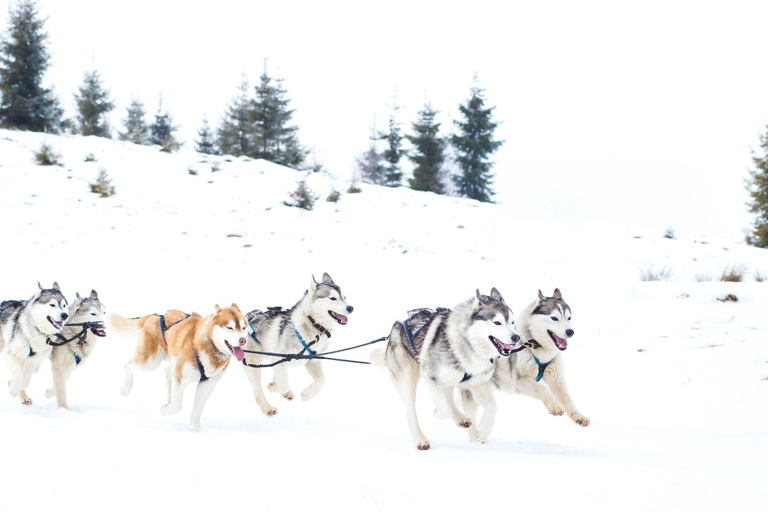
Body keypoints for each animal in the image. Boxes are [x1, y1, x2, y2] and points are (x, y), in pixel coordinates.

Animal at [106, 304, 246, 432]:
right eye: (230, 327)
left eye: (244, 328)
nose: (243, 340)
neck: (209, 345)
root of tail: (156, 316)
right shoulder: (181, 378)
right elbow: (177, 406)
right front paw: (164, 410)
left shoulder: (206, 384)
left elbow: (196, 410)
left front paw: (194, 428)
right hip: (150, 362)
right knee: (129, 365)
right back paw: (125, 389)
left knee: (167, 372)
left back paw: (169, 397)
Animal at [242, 272, 356, 416]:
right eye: (333, 298)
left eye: (345, 297)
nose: (350, 308)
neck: (313, 323)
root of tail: (245, 317)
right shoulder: (280, 360)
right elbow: (283, 384)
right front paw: (275, 387)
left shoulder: (312, 361)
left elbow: (322, 380)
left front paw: (307, 394)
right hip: (253, 364)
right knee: (258, 392)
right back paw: (268, 408)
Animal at [372, 290, 520, 450]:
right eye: (497, 322)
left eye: (512, 322)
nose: (516, 337)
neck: (467, 344)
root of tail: (398, 324)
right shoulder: (431, 378)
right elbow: (444, 408)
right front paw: (440, 413)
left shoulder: (477, 383)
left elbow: (492, 406)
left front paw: (483, 430)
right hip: (408, 379)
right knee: (410, 412)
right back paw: (420, 439)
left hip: (449, 381)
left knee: (448, 398)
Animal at [464, 290, 592, 426]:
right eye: (554, 318)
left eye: (569, 318)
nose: (570, 332)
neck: (538, 346)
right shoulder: (520, 380)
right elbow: (542, 388)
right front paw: (554, 404)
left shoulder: (556, 379)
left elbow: (567, 398)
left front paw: (578, 415)